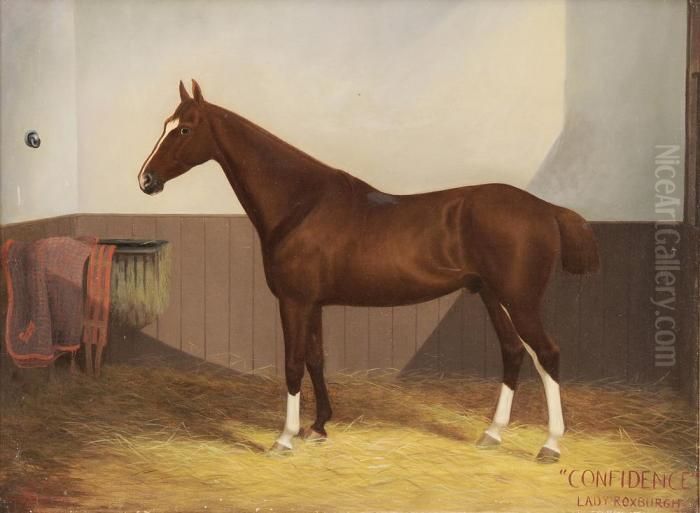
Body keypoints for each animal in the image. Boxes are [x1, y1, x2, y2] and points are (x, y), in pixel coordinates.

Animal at [138, 80, 599, 463]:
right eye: (166, 125)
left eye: (184, 130)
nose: (146, 180)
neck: (300, 204)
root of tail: (545, 209)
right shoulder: (314, 303)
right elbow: (316, 359)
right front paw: (318, 427)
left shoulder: (294, 301)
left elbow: (292, 364)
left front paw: (285, 438)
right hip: (492, 296)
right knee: (513, 352)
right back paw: (492, 434)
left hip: (518, 300)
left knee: (547, 354)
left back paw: (550, 445)